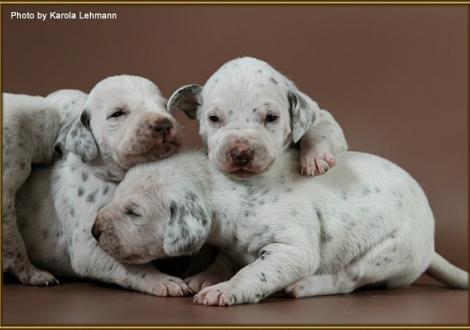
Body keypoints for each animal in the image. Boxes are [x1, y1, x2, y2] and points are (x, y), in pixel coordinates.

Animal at [14, 75, 191, 296]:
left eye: (164, 106)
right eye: (117, 113)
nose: (163, 123)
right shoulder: (89, 245)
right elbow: (133, 267)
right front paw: (164, 280)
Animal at [167, 56, 346, 178]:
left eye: (272, 117)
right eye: (213, 118)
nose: (240, 153)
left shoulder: (323, 117)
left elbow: (319, 131)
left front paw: (314, 157)